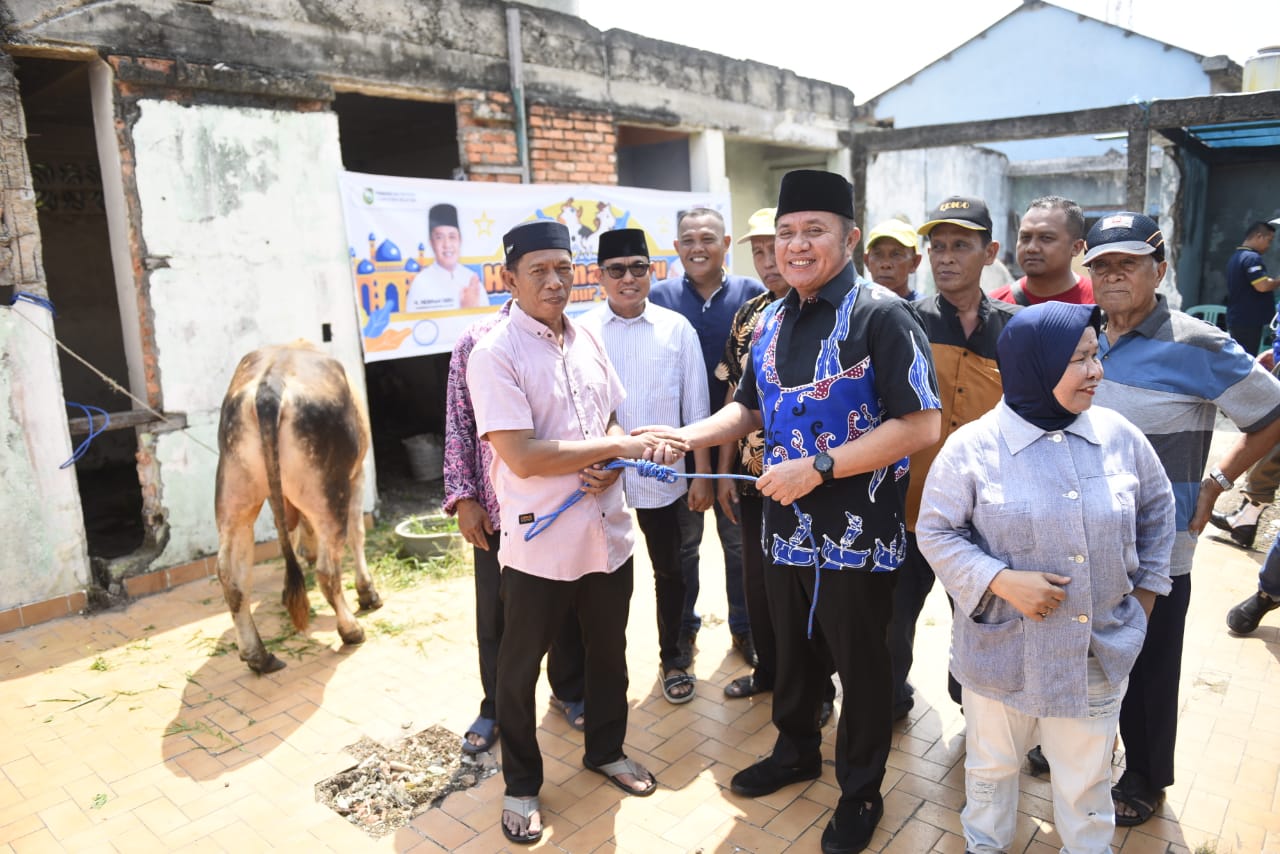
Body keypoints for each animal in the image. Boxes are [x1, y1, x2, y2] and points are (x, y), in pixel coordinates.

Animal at [215, 343, 381, 676]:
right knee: (328, 571)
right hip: (330, 493)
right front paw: (367, 592)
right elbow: (358, 534)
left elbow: (288, 537)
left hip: (235, 497)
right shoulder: (358, 475)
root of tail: (269, 387)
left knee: (231, 577)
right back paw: (351, 629)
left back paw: (258, 655)